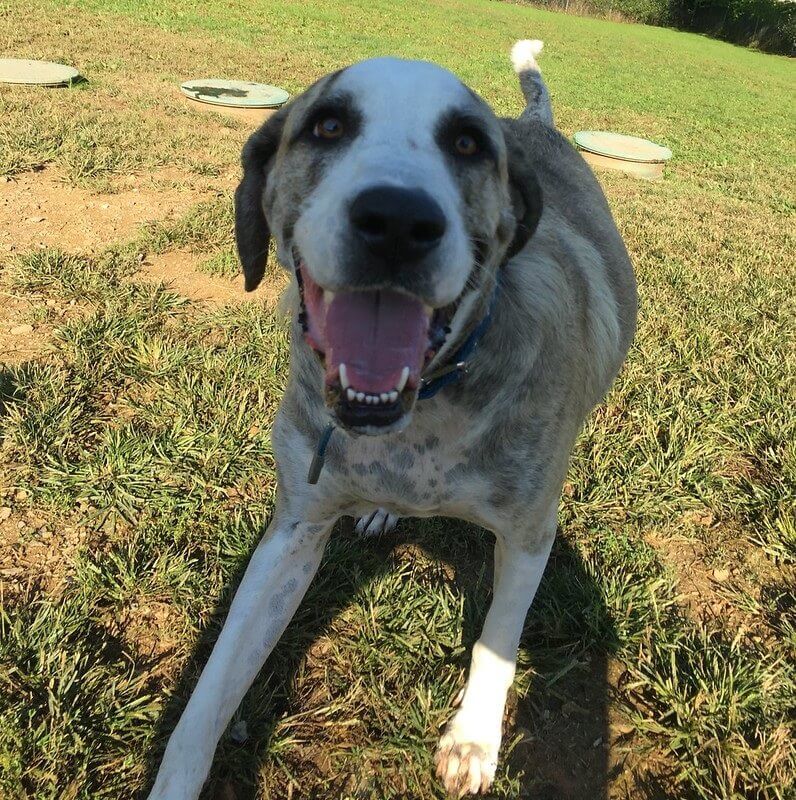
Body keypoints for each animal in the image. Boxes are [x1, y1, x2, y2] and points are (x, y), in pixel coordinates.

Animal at [148, 39, 636, 800]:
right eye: (327, 126)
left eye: (466, 143)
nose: (398, 221)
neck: (423, 413)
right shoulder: (293, 533)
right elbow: (211, 690)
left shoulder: (529, 532)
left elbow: (499, 637)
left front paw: (472, 741)